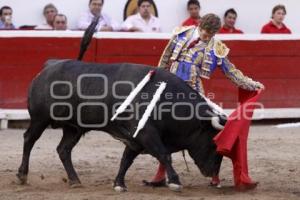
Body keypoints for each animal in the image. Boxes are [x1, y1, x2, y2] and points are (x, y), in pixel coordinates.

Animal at [15, 59, 224, 191]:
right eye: (213, 143)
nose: (213, 174)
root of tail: (46, 70)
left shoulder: (136, 139)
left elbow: (126, 160)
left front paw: (119, 184)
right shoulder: (146, 134)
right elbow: (164, 155)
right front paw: (174, 181)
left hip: (73, 128)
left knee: (63, 149)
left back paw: (75, 180)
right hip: (40, 119)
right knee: (29, 140)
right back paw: (22, 175)